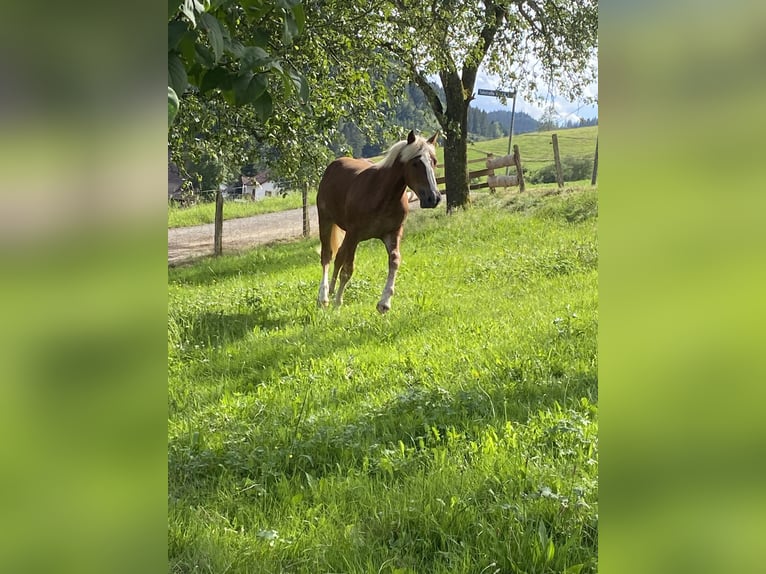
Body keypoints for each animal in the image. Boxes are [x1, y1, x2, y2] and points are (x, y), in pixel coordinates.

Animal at [316, 131, 440, 316]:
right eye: (415, 163)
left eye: (434, 161)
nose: (434, 198)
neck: (381, 195)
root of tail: (333, 166)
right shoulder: (354, 234)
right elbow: (348, 270)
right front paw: (338, 303)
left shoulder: (392, 233)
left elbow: (395, 261)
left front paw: (384, 303)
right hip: (326, 221)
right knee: (327, 256)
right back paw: (323, 298)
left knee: (338, 256)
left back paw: (330, 291)